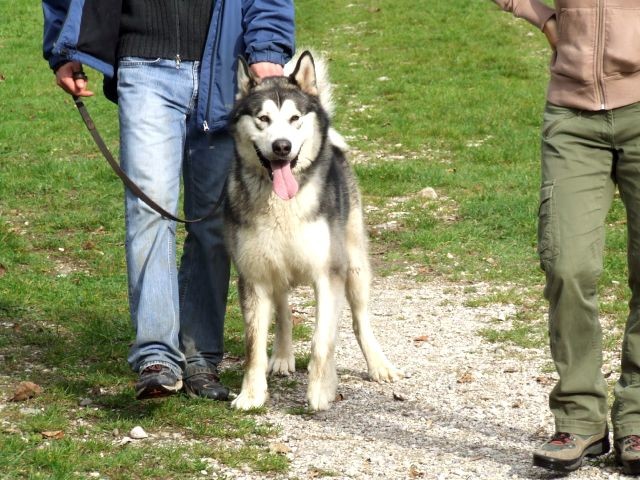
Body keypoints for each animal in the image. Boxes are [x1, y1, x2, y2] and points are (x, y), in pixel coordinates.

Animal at [225, 49, 402, 412]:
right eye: (263, 118)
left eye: (295, 118)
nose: (281, 146)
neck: (282, 204)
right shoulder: (254, 276)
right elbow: (253, 347)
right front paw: (251, 395)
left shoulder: (327, 274)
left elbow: (323, 341)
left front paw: (321, 390)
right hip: (277, 269)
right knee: (283, 311)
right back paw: (282, 355)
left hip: (355, 265)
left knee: (360, 319)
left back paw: (378, 364)